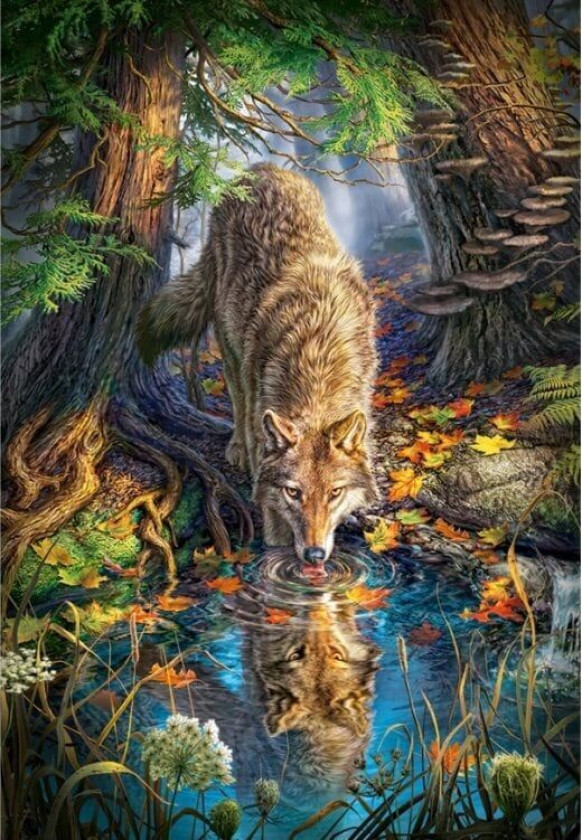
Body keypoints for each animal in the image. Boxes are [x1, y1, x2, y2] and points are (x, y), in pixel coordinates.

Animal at [137, 164, 378, 561]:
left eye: (334, 493)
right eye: (294, 492)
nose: (315, 554)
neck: (316, 353)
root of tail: (257, 170)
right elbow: (272, 517)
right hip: (230, 348)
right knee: (237, 402)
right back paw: (235, 448)